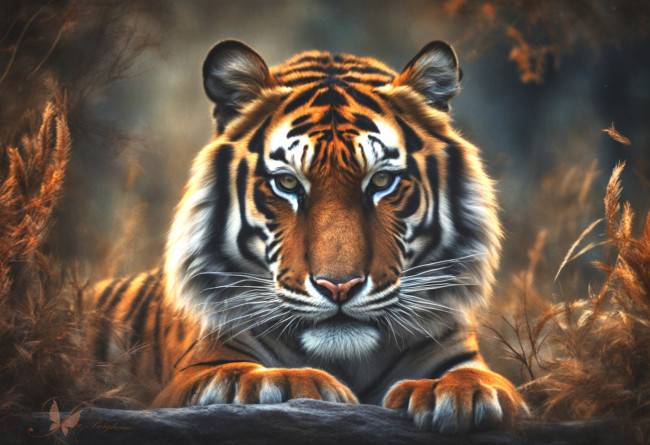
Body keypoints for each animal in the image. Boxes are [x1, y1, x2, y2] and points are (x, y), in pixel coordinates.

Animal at [88, 39, 529, 434]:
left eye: (381, 181)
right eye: (287, 183)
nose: (339, 286)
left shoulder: (459, 352)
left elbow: (483, 380)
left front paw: (459, 393)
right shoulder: (195, 371)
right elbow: (240, 377)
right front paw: (292, 382)